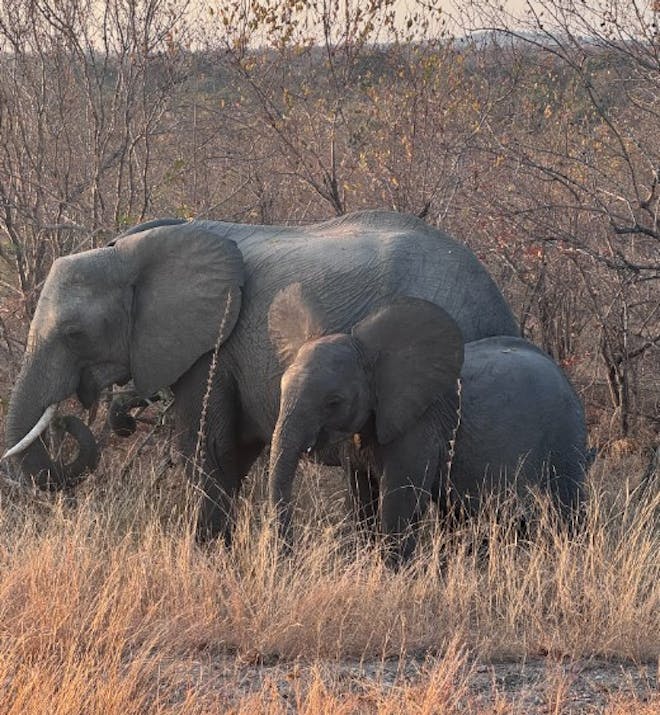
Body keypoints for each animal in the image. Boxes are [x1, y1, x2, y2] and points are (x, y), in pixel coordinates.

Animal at [3, 210, 518, 543]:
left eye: (74, 334)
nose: (110, 416)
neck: (133, 249)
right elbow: (235, 449)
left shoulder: (214, 345)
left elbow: (209, 446)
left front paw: (207, 556)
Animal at [267, 285, 587, 560]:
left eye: (333, 401)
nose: (289, 557)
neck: (373, 356)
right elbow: (361, 499)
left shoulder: (419, 427)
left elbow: (399, 500)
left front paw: (393, 576)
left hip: (564, 440)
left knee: (564, 510)